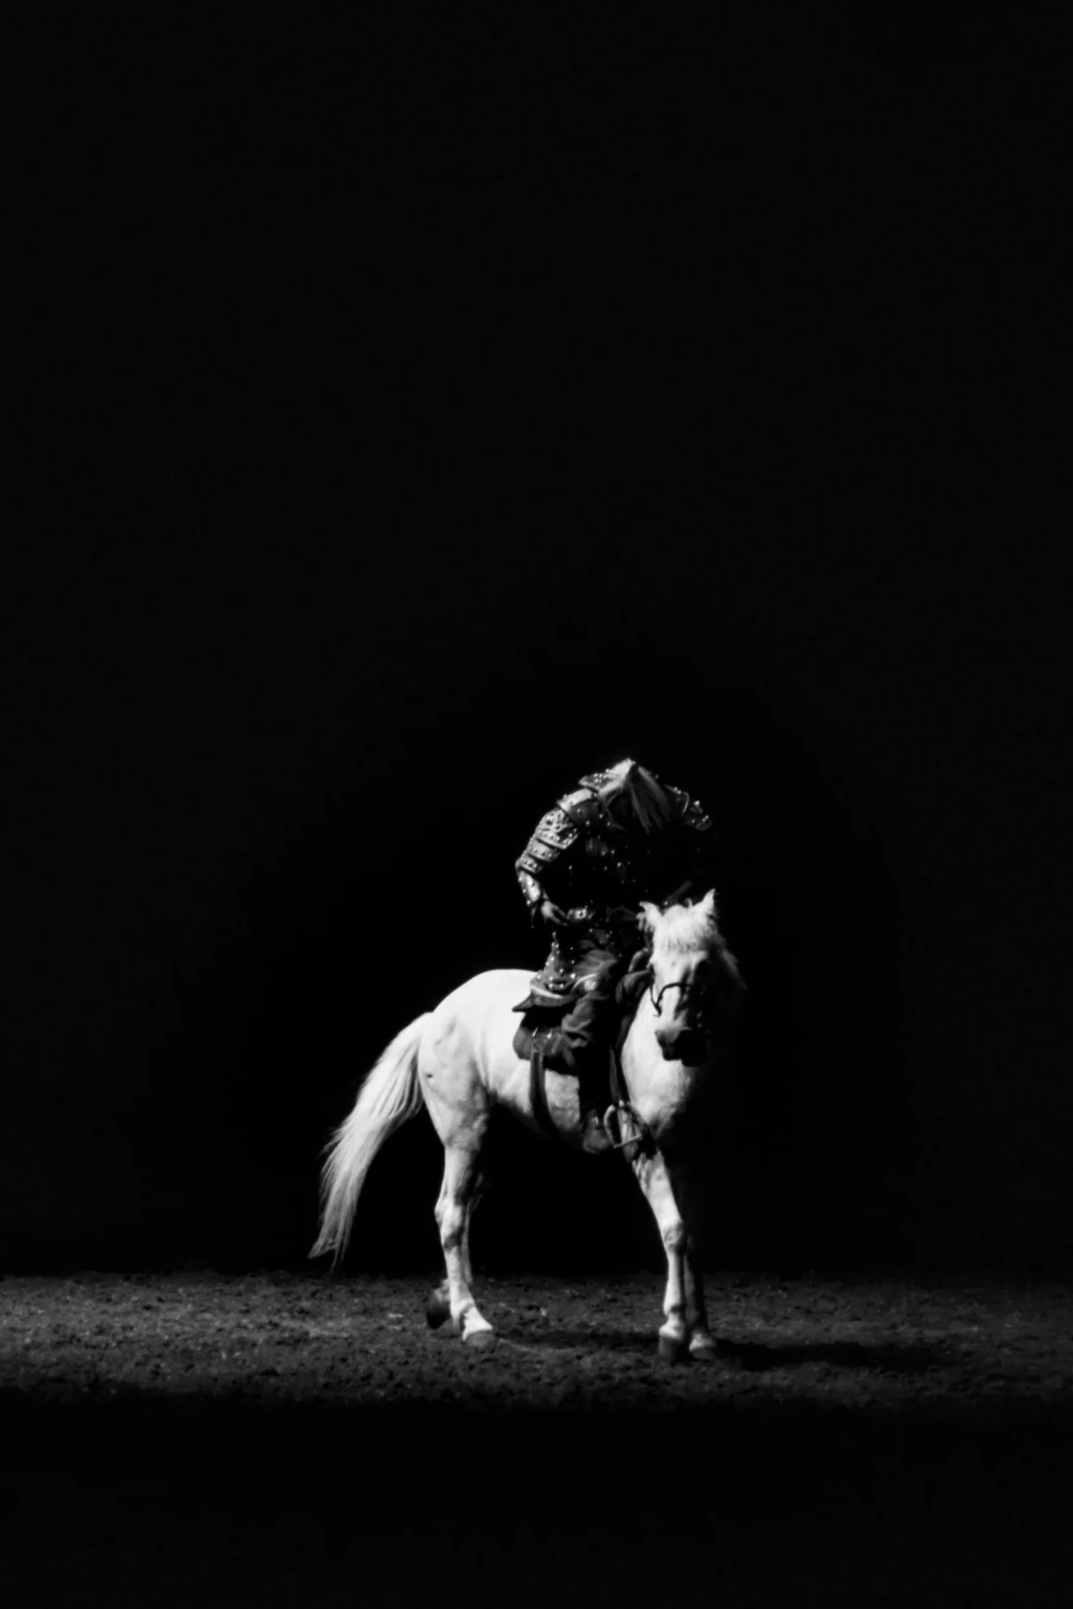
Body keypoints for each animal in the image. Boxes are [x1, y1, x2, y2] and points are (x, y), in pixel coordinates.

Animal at [310, 890, 745, 1361]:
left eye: (704, 964)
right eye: (655, 967)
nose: (671, 1037)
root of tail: (438, 1015)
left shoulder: (696, 1160)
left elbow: (694, 1237)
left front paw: (701, 1336)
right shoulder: (647, 1151)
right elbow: (675, 1232)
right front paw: (673, 1330)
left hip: (501, 1146)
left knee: (461, 1207)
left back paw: (445, 1301)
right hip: (464, 1138)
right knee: (451, 1214)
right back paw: (472, 1321)